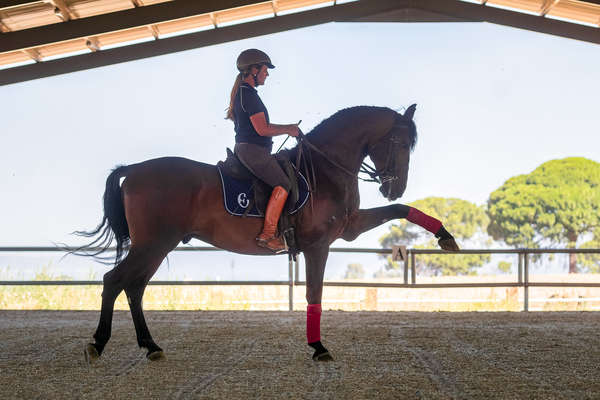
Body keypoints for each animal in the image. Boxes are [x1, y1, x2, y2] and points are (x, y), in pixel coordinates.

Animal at [79, 104, 460, 364]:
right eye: (399, 142)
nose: (395, 188)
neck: (326, 168)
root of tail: (134, 170)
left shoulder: (349, 227)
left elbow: (402, 211)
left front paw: (445, 236)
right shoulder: (318, 245)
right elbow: (314, 294)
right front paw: (318, 347)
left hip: (156, 247)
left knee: (134, 288)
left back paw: (151, 346)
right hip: (153, 244)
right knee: (115, 281)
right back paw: (97, 344)